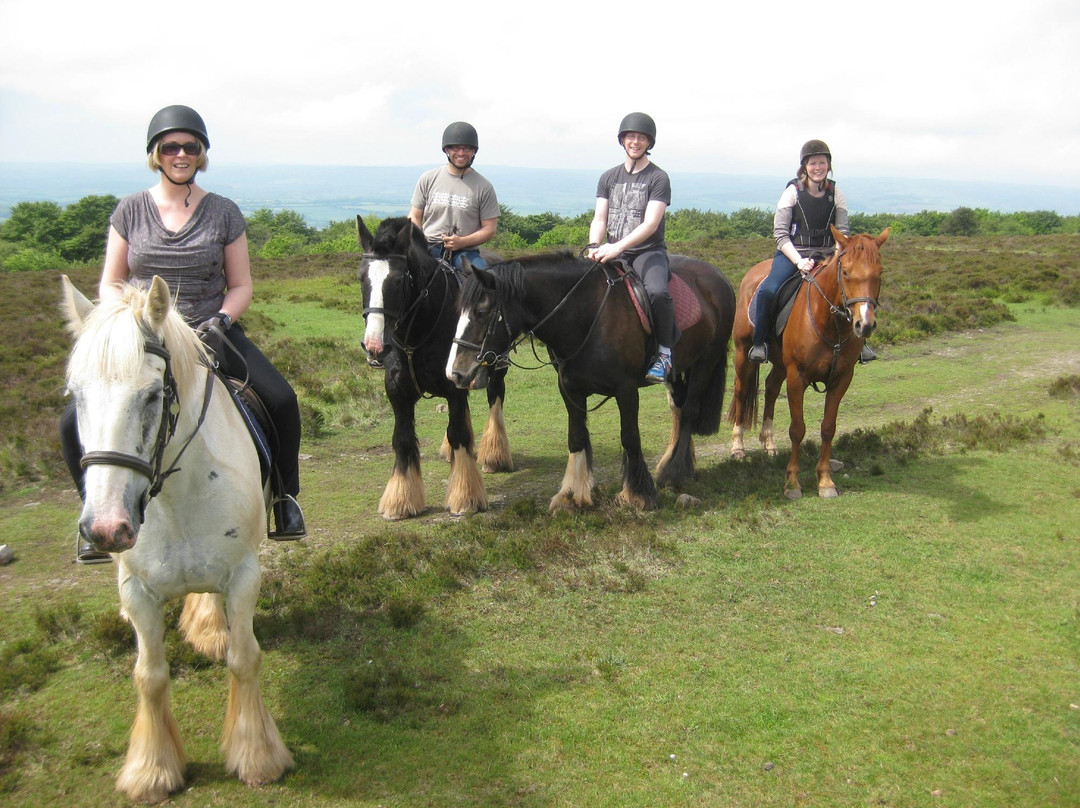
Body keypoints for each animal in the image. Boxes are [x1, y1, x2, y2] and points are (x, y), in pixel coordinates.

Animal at [62, 276, 291, 803]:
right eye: (75, 395)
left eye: (151, 396)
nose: (105, 528)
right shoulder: (137, 591)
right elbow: (149, 676)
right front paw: (152, 771)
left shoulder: (243, 574)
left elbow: (244, 659)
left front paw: (258, 756)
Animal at [444, 250, 734, 512]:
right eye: (458, 310)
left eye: (482, 311)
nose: (455, 373)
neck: (586, 316)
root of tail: (719, 276)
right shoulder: (570, 390)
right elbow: (577, 437)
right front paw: (571, 495)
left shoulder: (627, 390)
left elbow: (630, 437)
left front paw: (638, 494)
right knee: (679, 409)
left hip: (704, 364)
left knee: (689, 413)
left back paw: (674, 474)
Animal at [730, 223, 889, 494]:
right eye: (845, 272)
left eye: (879, 272)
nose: (864, 324)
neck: (830, 324)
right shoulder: (797, 376)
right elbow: (797, 429)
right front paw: (792, 482)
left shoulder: (841, 379)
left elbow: (828, 428)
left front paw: (825, 480)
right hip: (743, 353)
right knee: (741, 391)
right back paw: (738, 447)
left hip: (780, 362)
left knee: (771, 388)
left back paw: (769, 442)